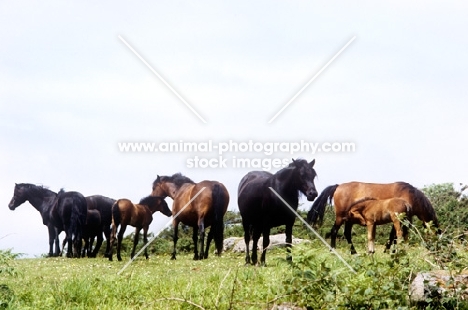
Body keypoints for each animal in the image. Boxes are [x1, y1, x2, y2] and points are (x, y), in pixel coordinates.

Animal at [308, 180, 436, 253]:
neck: (410, 195)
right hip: (340, 217)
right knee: (334, 231)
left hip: (349, 220)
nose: (433, 250)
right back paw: (333, 250)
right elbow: (394, 235)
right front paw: (388, 250)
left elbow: (395, 235)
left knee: (347, 234)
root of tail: (338, 186)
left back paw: (353, 252)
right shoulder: (397, 219)